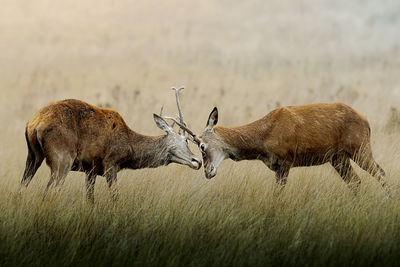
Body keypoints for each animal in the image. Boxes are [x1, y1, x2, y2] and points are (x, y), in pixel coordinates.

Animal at [20, 89, 202, 202]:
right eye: (185, 140)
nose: (197, 161)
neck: (130, 147)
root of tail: (34, 124)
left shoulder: (90, 169)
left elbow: (90, 200)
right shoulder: (110, 162)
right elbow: (115, 197)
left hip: (33, 156)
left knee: (23, 186)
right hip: (62, 158)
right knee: (50, 192)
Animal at [171, 102, 388, 193]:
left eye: (202, 145)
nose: (207, 172)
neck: (264, 137)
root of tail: (366, 120)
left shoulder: (285, 161)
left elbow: (278, 195)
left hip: (360, 148)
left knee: (381, 173)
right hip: (339, 158)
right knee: (356, 182)